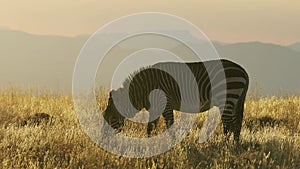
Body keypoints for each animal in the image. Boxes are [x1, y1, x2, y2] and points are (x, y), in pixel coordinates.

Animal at [102, 58, 248, 142]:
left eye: (110, 117)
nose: (103, 140)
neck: (145, 89)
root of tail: (243, 70)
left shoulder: (165, 104)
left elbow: (168, 126)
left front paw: (172, 145)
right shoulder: (155, 109)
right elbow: (151, 128)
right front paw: (150, 145)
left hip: (227, 97)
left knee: (229, 124)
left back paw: (225, 146)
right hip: (236, 101)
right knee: (236, 124)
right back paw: (234, 146)